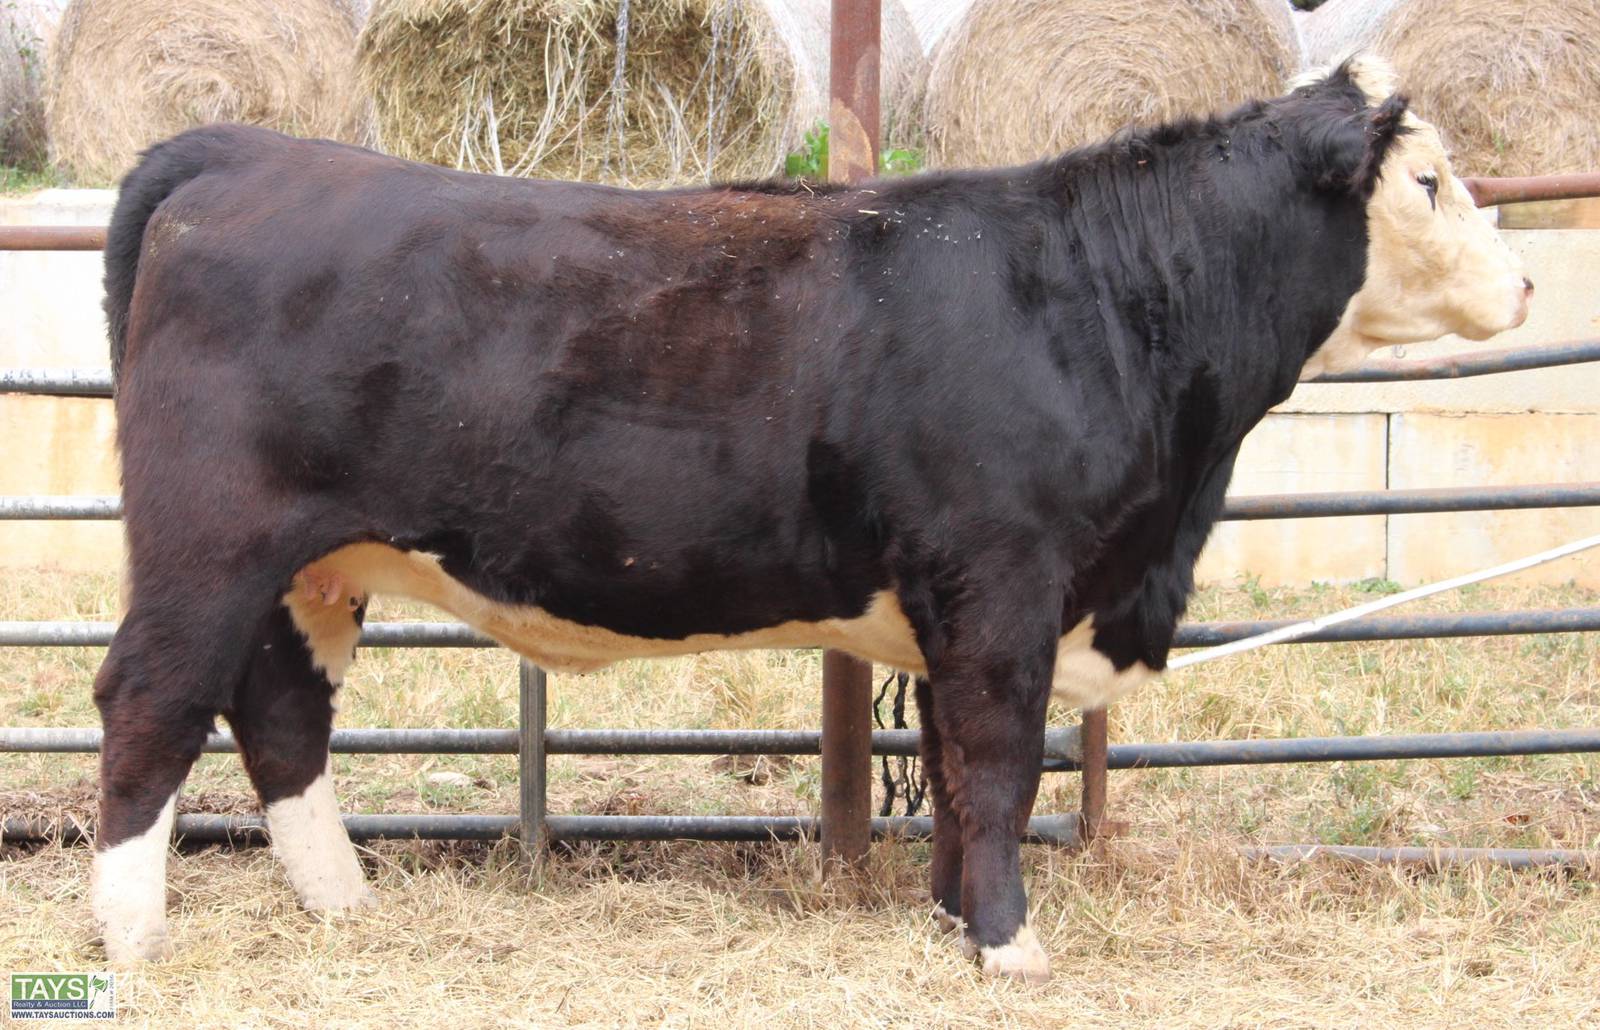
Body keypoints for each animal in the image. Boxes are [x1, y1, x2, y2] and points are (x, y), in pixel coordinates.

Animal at [90, 56, 1529, 980]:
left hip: (311, 567)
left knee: (280, 710)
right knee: (151, 700)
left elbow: (948, 769)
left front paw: (955, 921)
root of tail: (244, 151)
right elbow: (1000, 765)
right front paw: (1012, 947)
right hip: (209, 543)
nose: (1522, 284)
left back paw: (342, 902)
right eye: (1429, 185)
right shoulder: (1005, 586)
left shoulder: (959, 607)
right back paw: (130, 933)